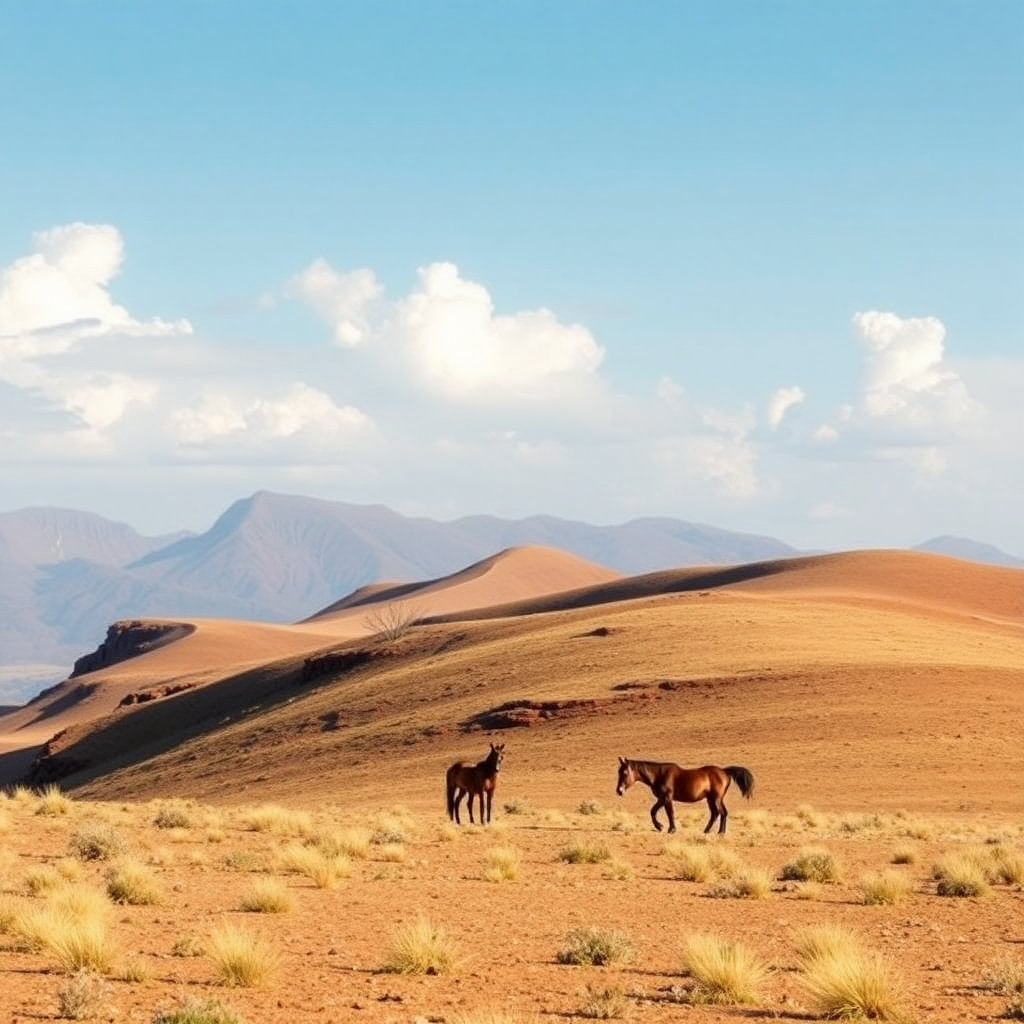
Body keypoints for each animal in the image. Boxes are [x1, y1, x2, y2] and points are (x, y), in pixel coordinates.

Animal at [614, 757, 753, 835]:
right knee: (717, 814)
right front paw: (660, 826)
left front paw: (671, 829)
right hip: (712, 799)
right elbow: (653, 811)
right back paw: (708, 831)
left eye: (625, 772)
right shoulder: (661, 799)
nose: (619, 791)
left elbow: (669, 813)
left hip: (716, 799)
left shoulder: (667, 798)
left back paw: (720, 832)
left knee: (721, 813)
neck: (659, 775)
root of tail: (724, 771)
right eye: (619, 772)